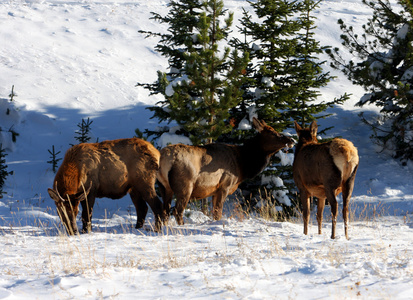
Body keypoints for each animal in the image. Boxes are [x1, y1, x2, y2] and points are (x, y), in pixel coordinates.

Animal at [156, 117, 294, 225]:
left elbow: (214, 213)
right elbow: (218, 213)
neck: (243, 165)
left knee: (164, 211)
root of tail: (163, 158)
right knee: (177, 211)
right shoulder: (225, 185)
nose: (291, 140)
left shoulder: (214, 191)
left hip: (164, 186)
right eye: (272, 132)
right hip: (185, 185)